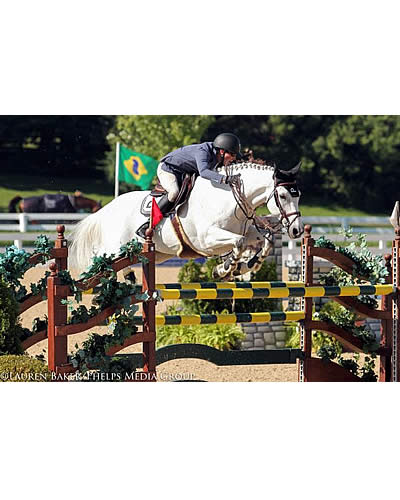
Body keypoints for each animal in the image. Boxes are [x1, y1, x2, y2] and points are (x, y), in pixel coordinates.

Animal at [69, 163, 304, 282]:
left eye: (298, 195)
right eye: (283, 196)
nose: (296, 230)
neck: (228, 198)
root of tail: (108, 209)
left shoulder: (245, 232)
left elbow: (265, 241)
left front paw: (246, 266)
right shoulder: (207, 240)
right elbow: (238, 243)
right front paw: (224, 269)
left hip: (155, 254)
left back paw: (131, 280)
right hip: (111, 251)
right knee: (97, 265)